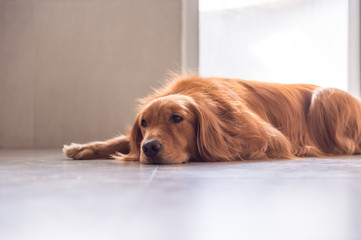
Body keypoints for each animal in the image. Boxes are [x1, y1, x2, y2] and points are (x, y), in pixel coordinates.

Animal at [63, 76, 360, 164]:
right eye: (144, 124)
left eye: (177, 118)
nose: (150, 148)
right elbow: (123, 140)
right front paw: (83, 148)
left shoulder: (268, 138)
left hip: (327, 96)